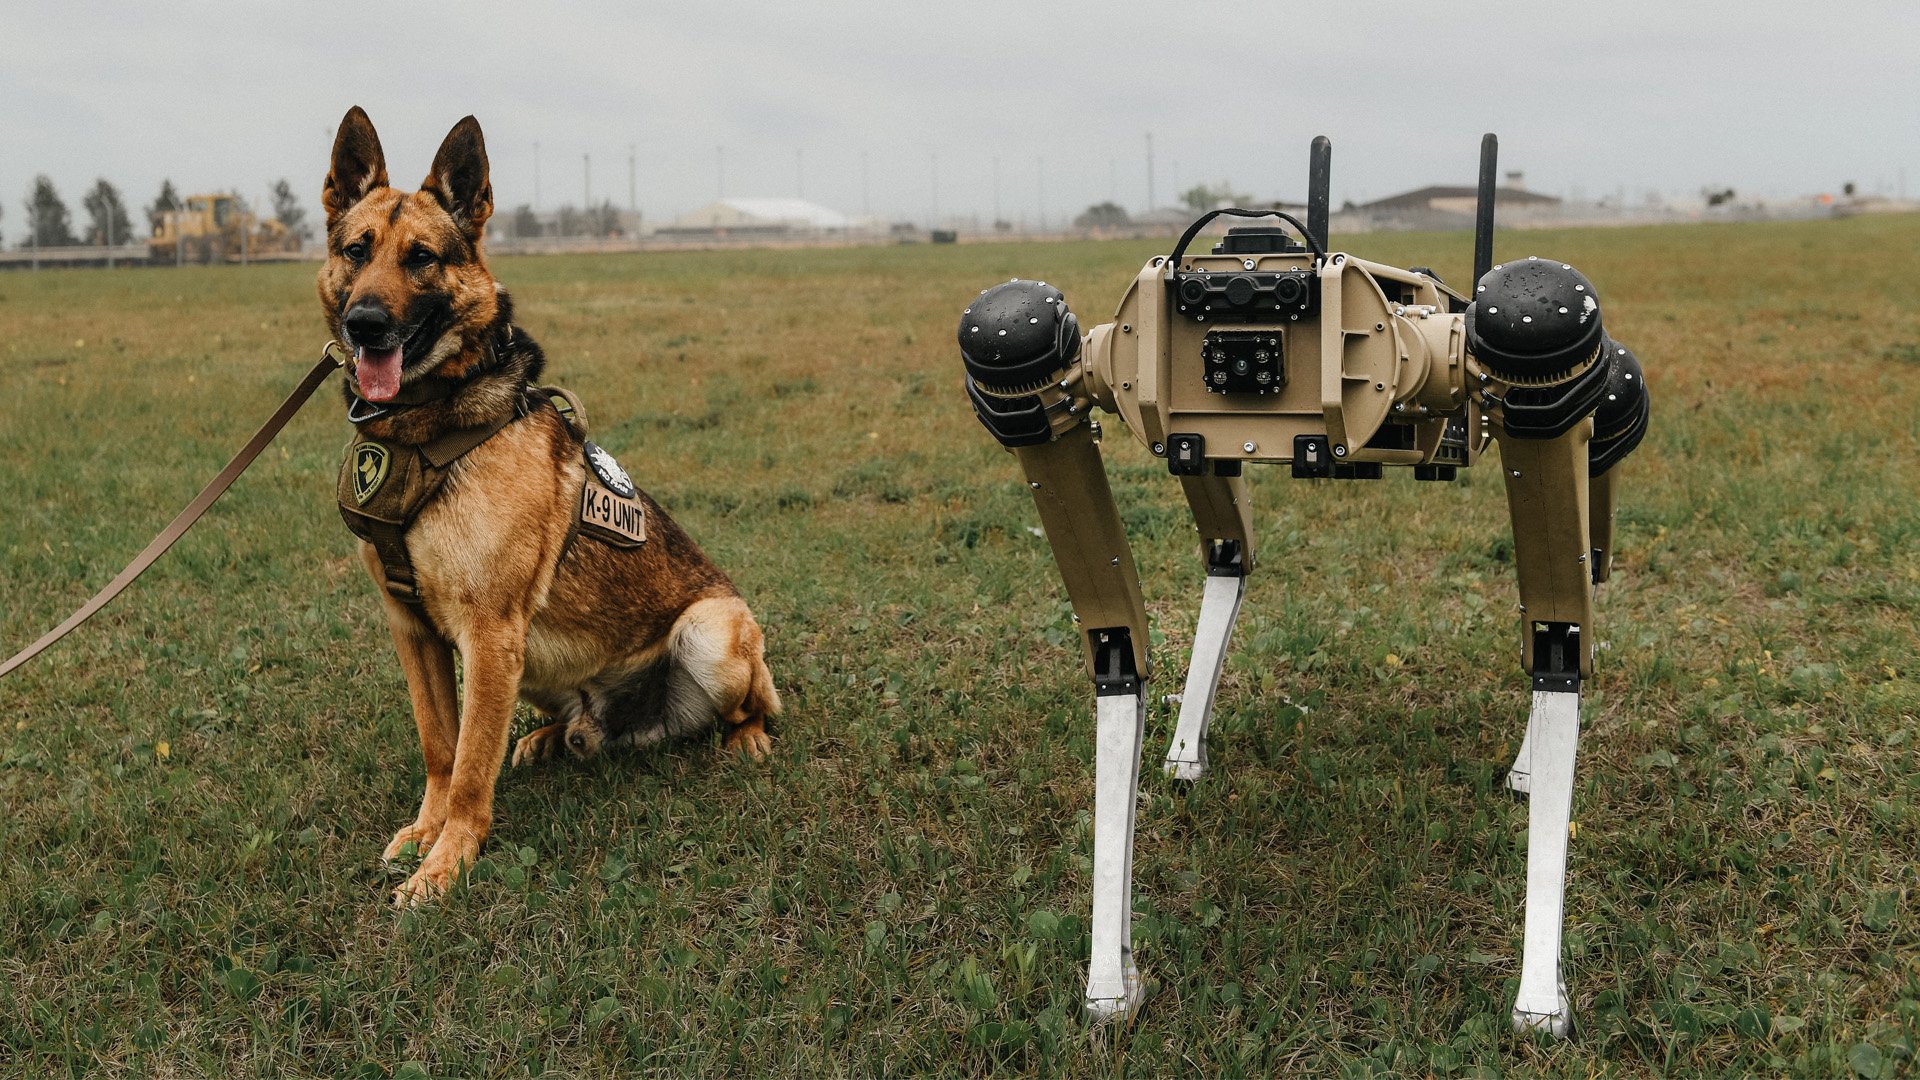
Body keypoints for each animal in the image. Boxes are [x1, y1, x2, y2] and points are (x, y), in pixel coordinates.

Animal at [318, 107, 775, 899]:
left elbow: (471, 767)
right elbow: (442, 747)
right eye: (357, 250)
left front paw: (446, 865)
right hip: (532, 666)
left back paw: (745, 738)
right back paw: (550, 736)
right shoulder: (414, 630)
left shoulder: (488, 632)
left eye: (422, 259)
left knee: (750, 710)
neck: (425, 428)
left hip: (711, 632)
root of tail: (609, 719)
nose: (365, 323)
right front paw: (425, 833)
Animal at [960, 138, 1651, 1030]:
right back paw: (1184, 749)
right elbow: (1118, 645)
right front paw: (1110, 975)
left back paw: (1530, 759)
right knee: (1227, 553)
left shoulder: (1516, 378)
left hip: (1568, 400)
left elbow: (1557, 641)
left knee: (1587, 554)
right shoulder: (1083, 388)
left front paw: (1540, 990)